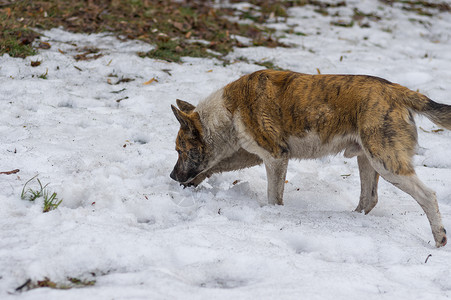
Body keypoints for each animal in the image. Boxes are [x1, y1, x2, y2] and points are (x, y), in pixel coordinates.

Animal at [171, 69, 450, 247]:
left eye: (179, 150)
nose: (172, 176)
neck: (229, 110)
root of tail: (398, 91)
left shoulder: (275, 156)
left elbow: (273, 198)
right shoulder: (250, 154)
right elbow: (215, 165)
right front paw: (192, 183)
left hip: (386, 162)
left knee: (428, 196)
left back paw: (439, 239)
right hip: (368, 160)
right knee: (368, 199)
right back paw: (351, 220)